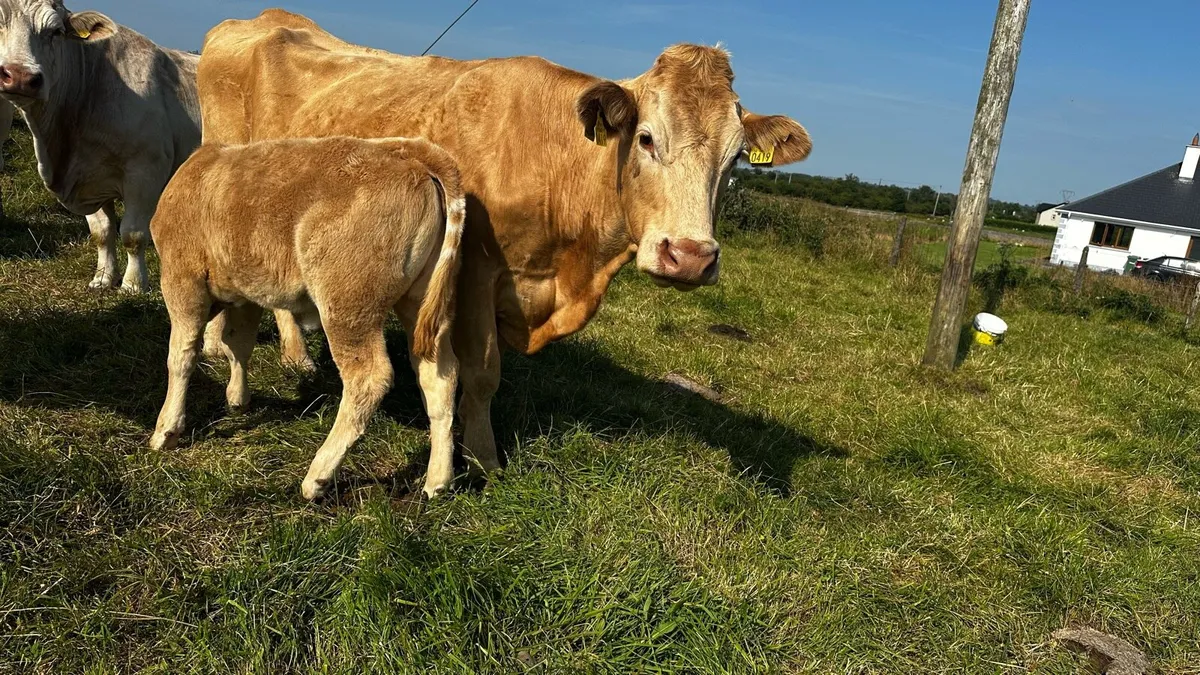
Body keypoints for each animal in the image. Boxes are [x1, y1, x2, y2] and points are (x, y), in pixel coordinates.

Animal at [0, 1, 200, 294]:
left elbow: (132, 234)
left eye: (56, 32)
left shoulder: (145, 172)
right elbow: (102, 233)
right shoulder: (89, 178)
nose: (20, 76)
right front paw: (103, 278)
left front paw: (132, 284)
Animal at [150, 136, 466, 499]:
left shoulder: (182, 280)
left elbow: (181, 356)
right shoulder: (245, 291)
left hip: (347, 307)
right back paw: (437, 481)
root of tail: (407, 153)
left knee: (368, 379)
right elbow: (237, 344)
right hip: (420, 304)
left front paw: (167, 429)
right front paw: (238, 398)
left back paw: (318, 476)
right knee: (439, 375)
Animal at [198, 9, 812, 492]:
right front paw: (483, 458)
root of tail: (263, 19)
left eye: (735, 159)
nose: (690, 256)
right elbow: (482, 373)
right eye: (646, 138)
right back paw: (233, 348)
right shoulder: (476, 271)